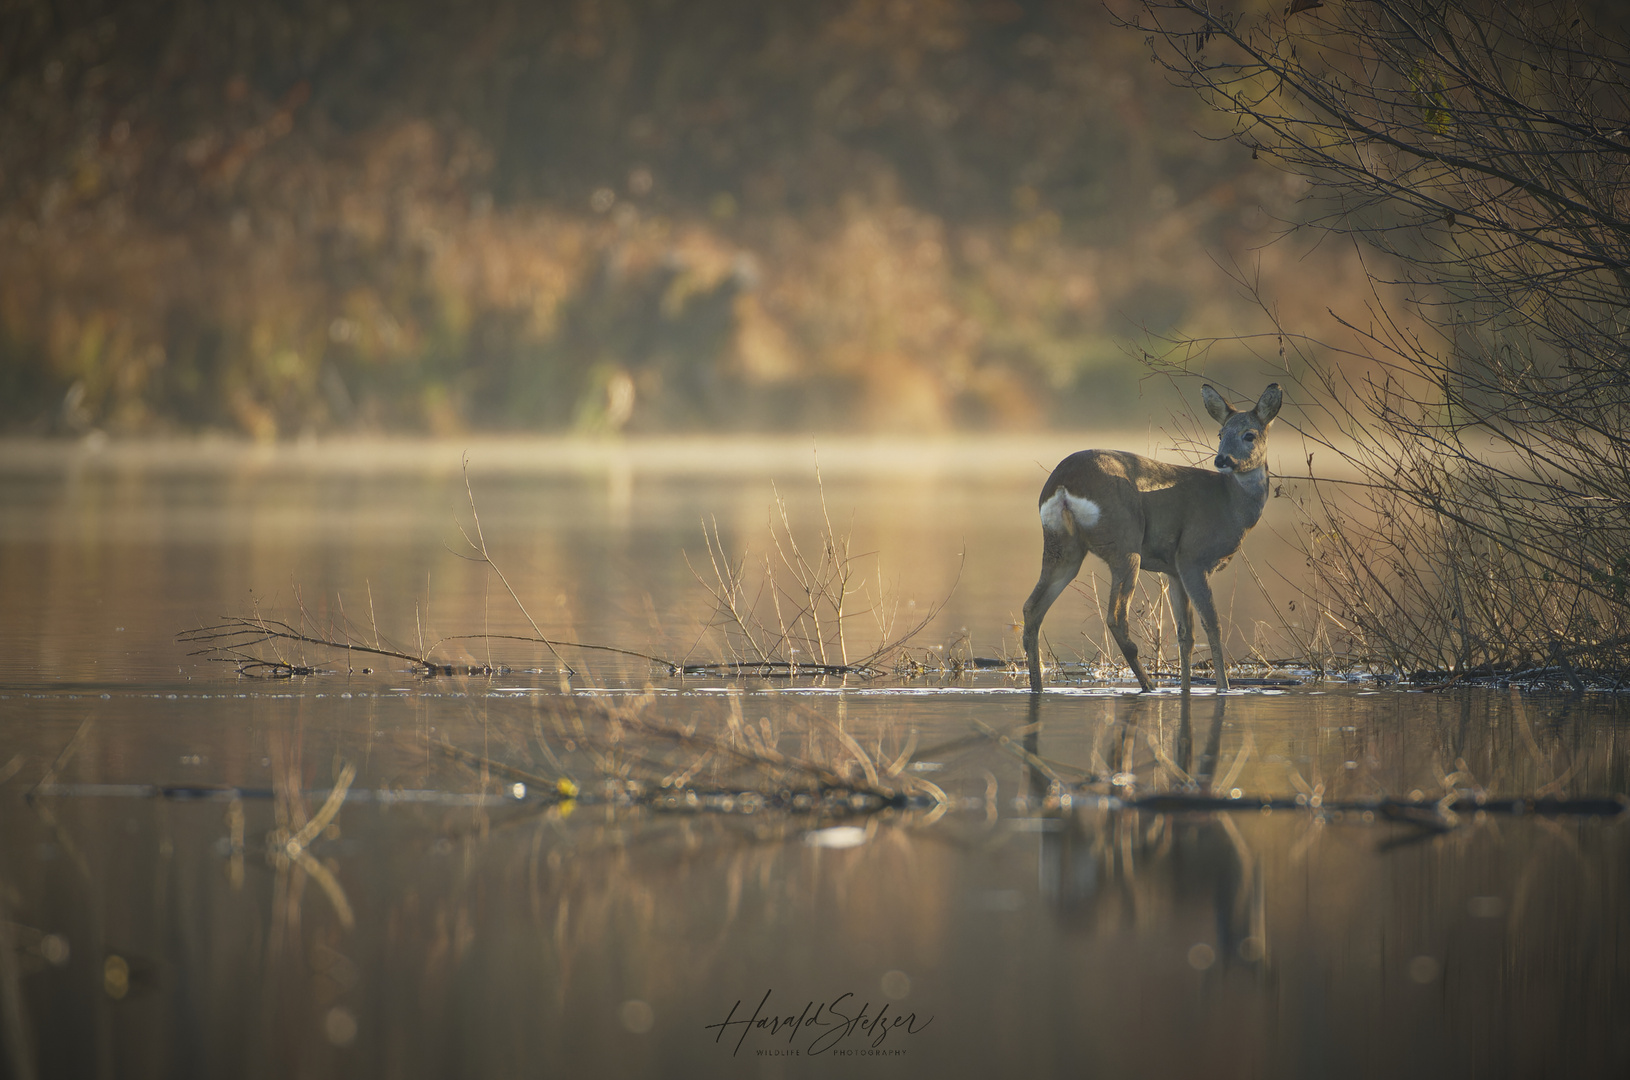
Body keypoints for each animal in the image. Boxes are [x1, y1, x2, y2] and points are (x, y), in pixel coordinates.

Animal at [1017, 384, 1284, 697]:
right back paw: (1149, 686)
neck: (1230, 503)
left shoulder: (1174, 570)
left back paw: (1038, 687)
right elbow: (1213, 624)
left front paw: (1186, 690)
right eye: (1221, 434)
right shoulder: (1193, 556)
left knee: (1032, 609)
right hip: (1125, 541)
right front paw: (1223, 688)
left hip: (1062, 547)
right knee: (1116, 616)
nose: (1222, 460)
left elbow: (1186, 634)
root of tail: (1062, 482)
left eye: (1248, 435)